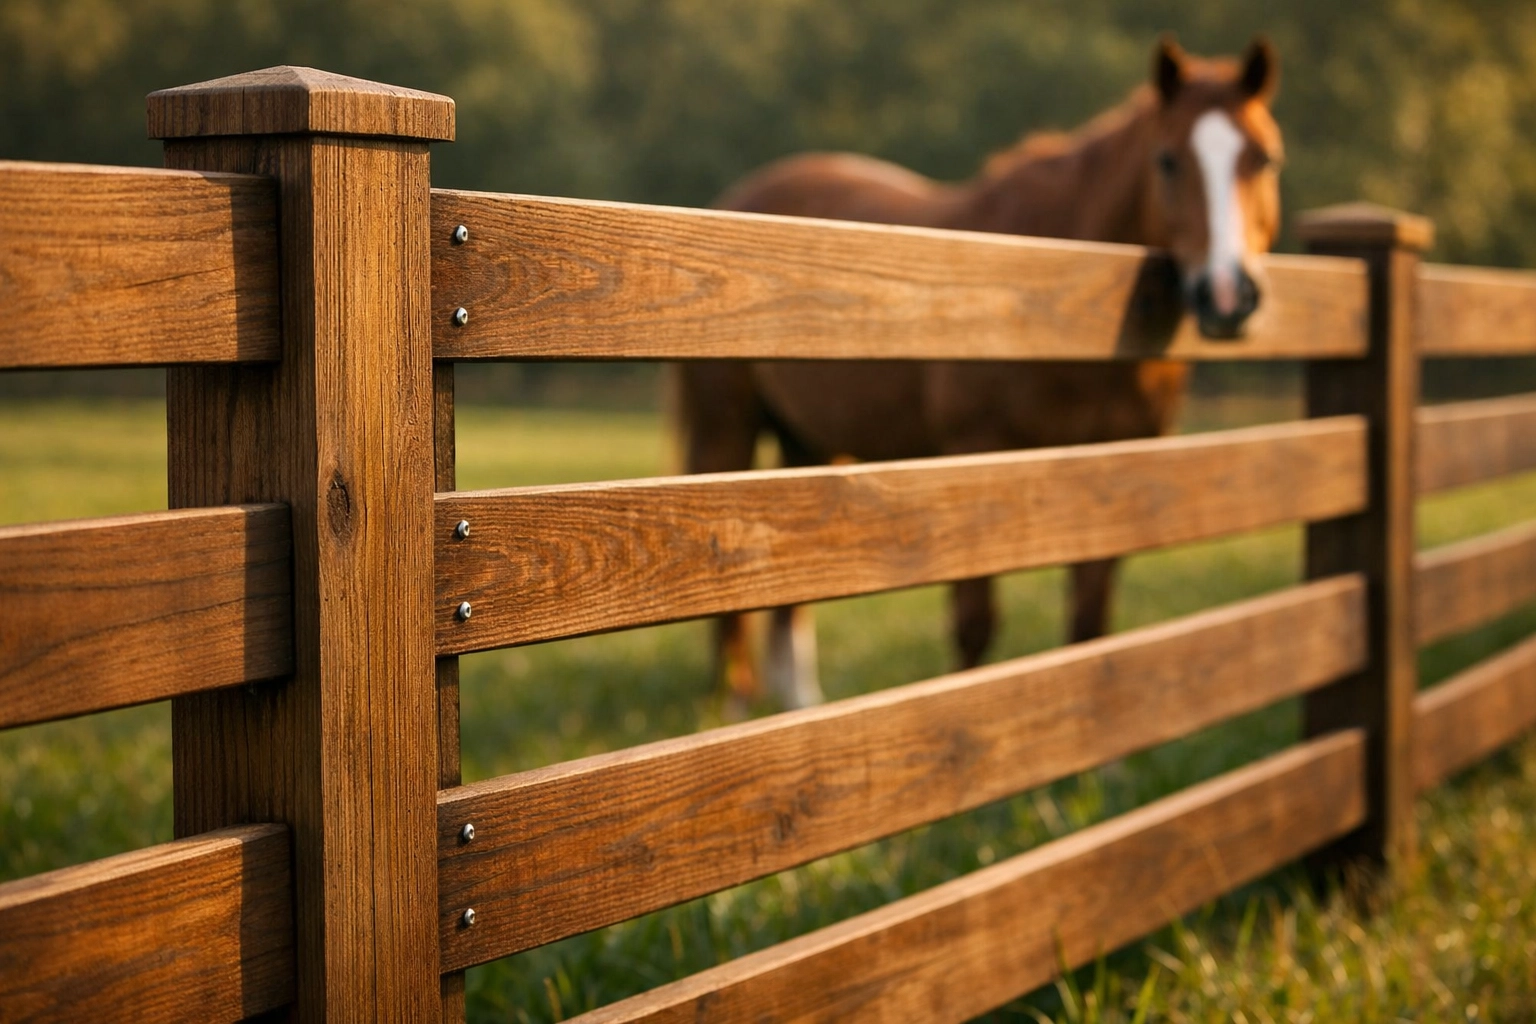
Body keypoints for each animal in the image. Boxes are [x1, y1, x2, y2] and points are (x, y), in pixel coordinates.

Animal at [676, 36, 1284, 709]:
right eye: (1168, 161)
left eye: (1263, 159)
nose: (1227, 295)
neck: (1060, 294)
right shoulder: (975, 457)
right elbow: (975, 623)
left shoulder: (1113, 468)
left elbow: (1090, 621)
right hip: (725, 427)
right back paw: (738, 705)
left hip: (808, 440)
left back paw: (802, 704)